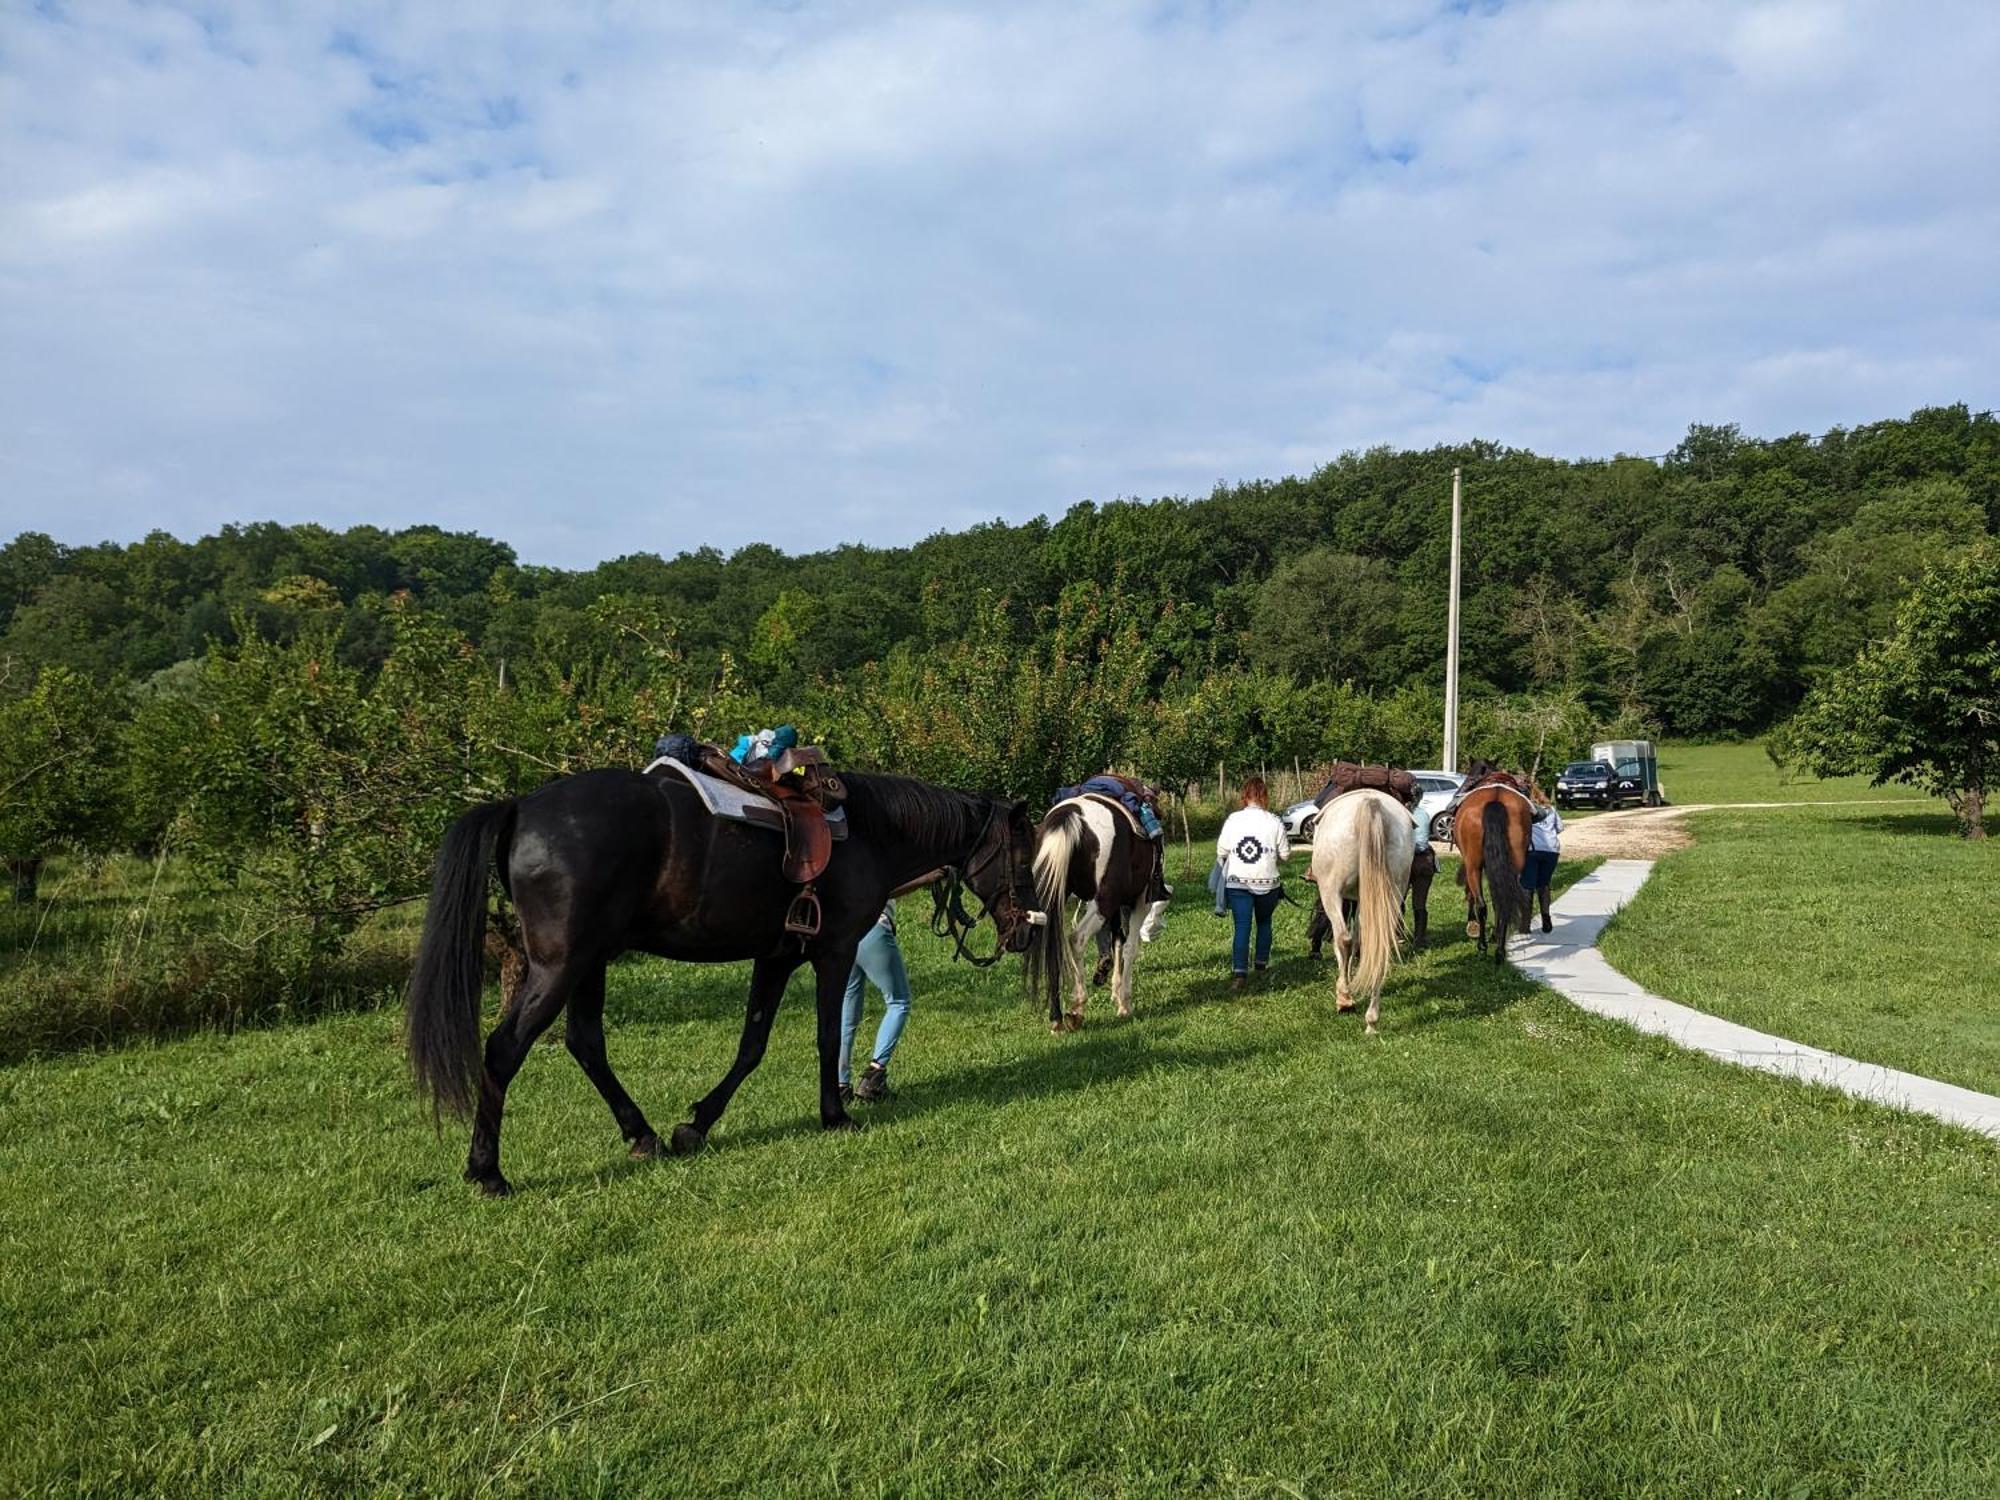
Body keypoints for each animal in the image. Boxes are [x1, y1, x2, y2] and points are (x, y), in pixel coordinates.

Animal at [400, 768, 1040, 1208]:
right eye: (1021, 854)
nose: (1027, 930)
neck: (869, 834)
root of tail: (522, 808)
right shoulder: (832, 955)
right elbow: (827, 1037)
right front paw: (835, 1115)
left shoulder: (776, 959)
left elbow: (751, 1047)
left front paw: (695, 1125)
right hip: (559, 966)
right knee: (505, 1049)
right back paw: (487, 1170)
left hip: (590, 963)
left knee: (585, 1043)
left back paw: (642, 1134)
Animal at [1024, 800, 1168, 1032]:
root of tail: (1070, 817)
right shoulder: (1140, 901)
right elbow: (1129, 947)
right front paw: (1124, 1002)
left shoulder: (1116, 905)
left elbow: (1117, 940)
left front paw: (1115, 992)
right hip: (1104, 902)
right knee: (1077, 938)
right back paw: (1077, 1008)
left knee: (1053, 944)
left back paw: (1057, 1018)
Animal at [1312, 792, 1424, 1040]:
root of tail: (1371, 804)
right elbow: (1359, 941)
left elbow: (1345, 942)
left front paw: (1345, 993)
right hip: (1390, 894)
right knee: (1377, 945)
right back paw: (1372, 1019)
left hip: (1331, 891)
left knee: (1343, 939)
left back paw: (1345, 998)